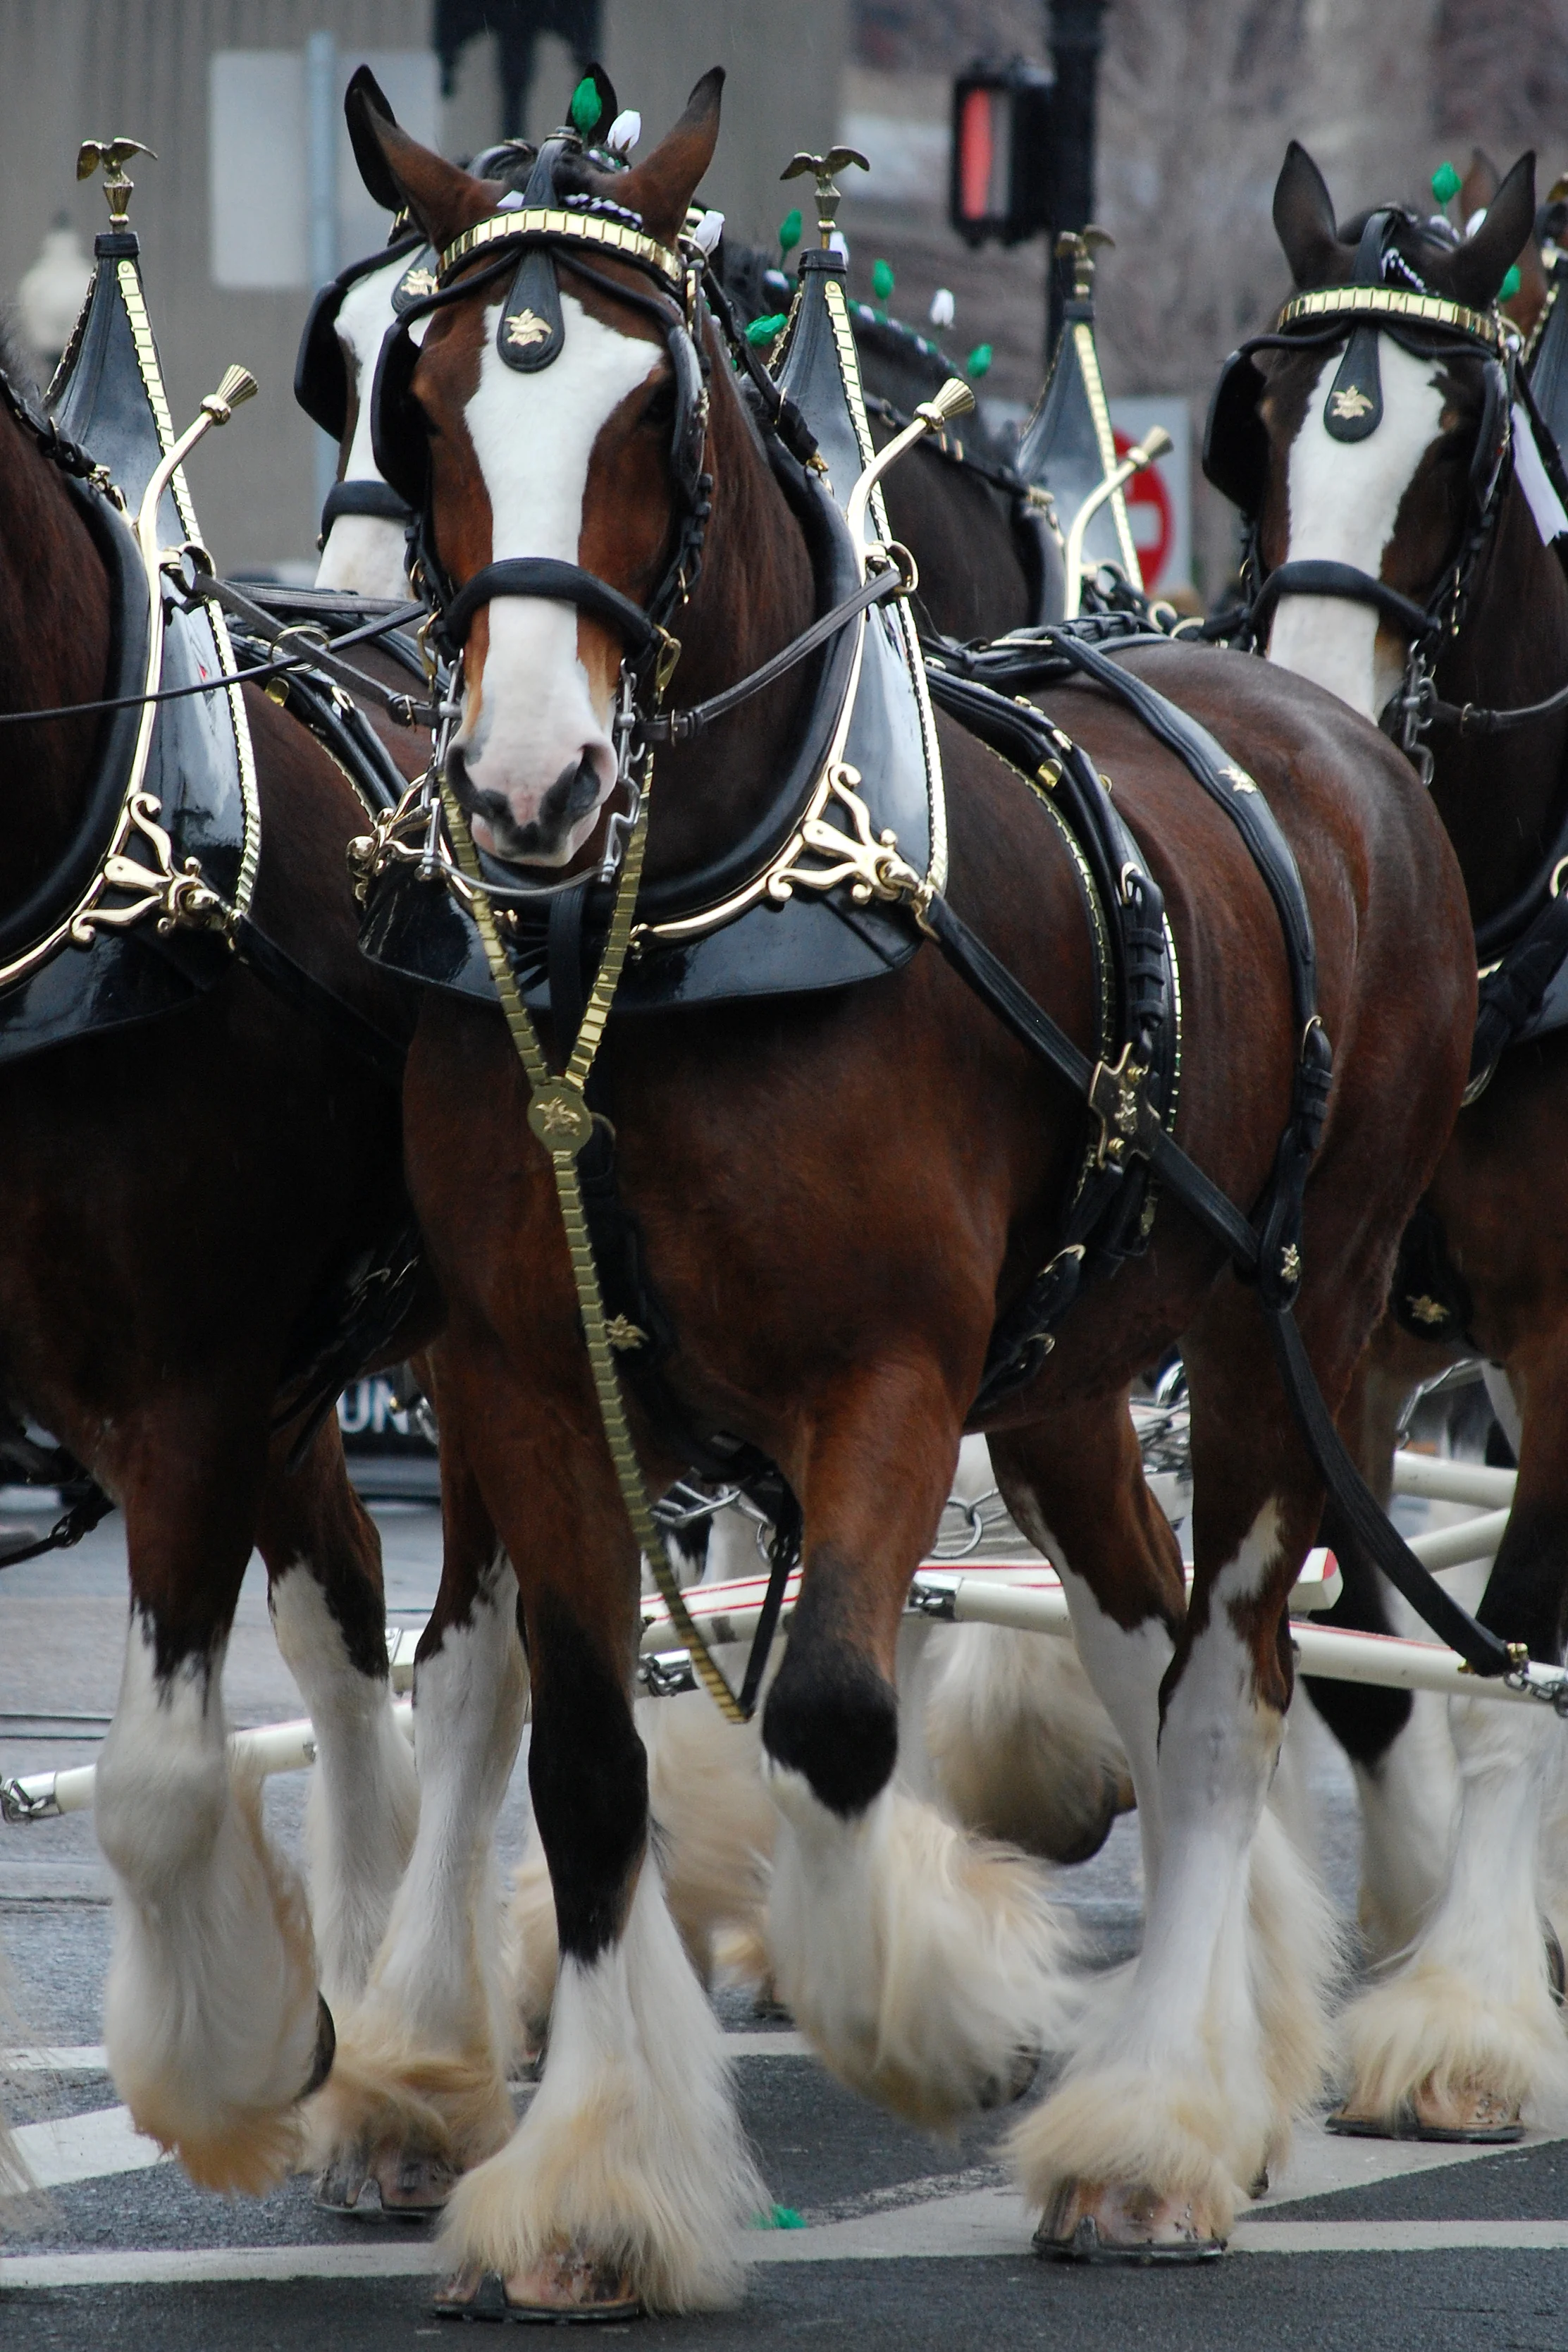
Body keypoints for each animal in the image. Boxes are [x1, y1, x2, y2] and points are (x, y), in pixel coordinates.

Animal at [350, 78, 1476, 2314]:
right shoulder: (525, 1378)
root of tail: (1324, 728)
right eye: (420, 407)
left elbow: (840, 1714)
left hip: (1292, 1327)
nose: (527, 787)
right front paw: (592, 2176)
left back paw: (1155, 2123)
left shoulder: (883, 1372)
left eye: (650, 406)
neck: (682, 932)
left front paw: (927, 2006)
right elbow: (584, 1761)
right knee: (1145, 1644)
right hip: (1072, 1373)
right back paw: (1213, 2058)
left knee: (1225, 1689)